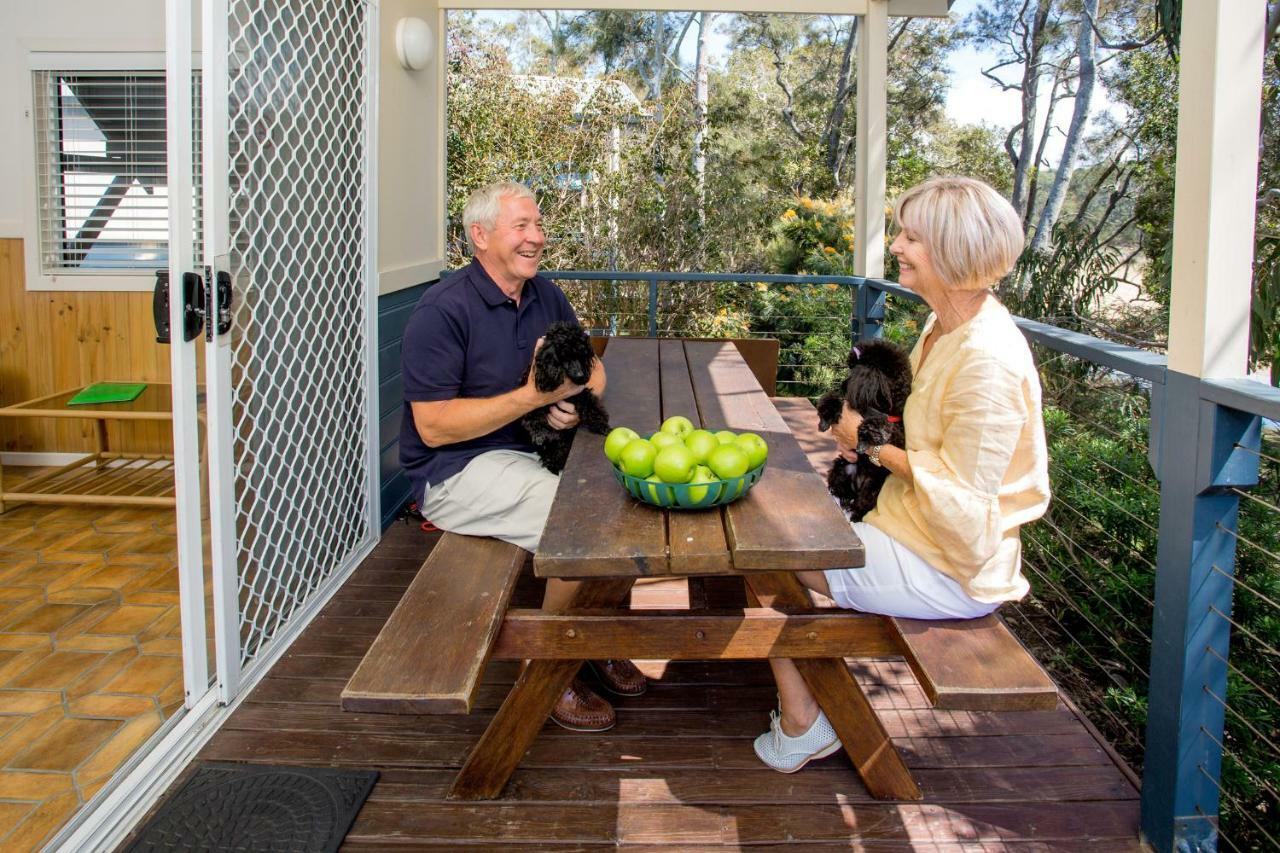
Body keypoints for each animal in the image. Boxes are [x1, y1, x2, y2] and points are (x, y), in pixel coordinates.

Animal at [519, 322, 609, 473]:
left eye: (582, 355)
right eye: (565, 355)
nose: (580, 375)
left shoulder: (579, 393)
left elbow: (590, 405)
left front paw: (602, 424)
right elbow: (532, 415)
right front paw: (539, 433)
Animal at [819, 338, 911, 517]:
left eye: (854, 369)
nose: (843, 385)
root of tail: (857, 483)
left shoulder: (898, 436)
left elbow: (883, 426)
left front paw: (866, 438)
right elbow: (834, 399)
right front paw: (826, 416)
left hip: (872, 488)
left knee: (861, 504)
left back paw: (854, 514)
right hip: (840, 469)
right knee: (842, 490)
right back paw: (845, 500)